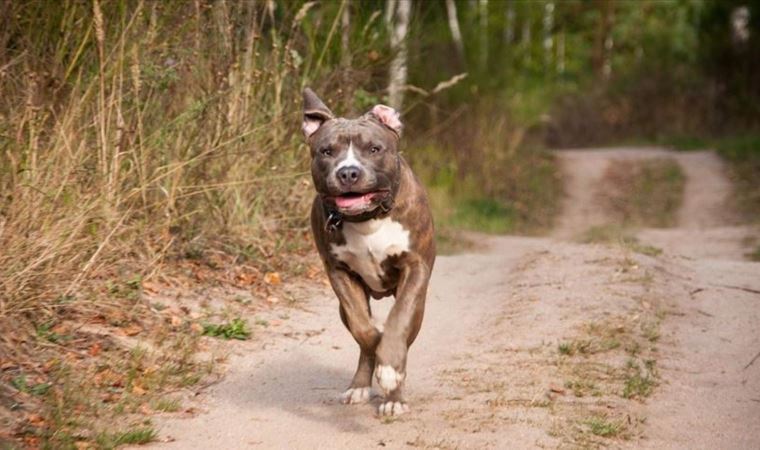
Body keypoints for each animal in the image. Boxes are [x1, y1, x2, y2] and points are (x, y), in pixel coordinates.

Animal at [302, 89, 436, 416]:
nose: (349, 172)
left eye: (374, 148)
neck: (368, 219)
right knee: (362, 337)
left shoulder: (415, 268)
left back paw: (394, 395)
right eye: (326, 151)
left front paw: (391, 373)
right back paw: (360, 385)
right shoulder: (339, 272)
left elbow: (398, 322)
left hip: (420, 305)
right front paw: (376, 344)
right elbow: (364, 329)